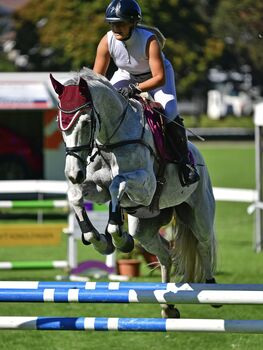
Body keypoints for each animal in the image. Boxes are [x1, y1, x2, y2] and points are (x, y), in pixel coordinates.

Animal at [50, 67, 218, 318]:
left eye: (87, 122)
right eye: (61, 122)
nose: (73, 174)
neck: (109, 140)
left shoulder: (145, 187)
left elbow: (116, 184)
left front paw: (118, 238)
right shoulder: (96, 189)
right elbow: (77, 197)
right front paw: (100, 240)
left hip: (200, 215)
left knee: (204, 244)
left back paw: (211, 288)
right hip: (145, 227)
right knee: (165, 253)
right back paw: (167, 306)